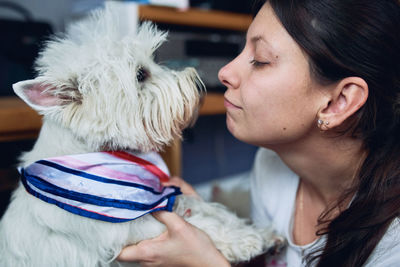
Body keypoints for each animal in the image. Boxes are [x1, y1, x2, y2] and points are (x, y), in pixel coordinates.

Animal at [0, 4, 282, 267]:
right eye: (140, 74)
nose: (198, 81)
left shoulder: (165, 197)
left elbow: (208, 208)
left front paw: (258, 232)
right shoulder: (129, 228)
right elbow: (202, 226)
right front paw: (247, 240)